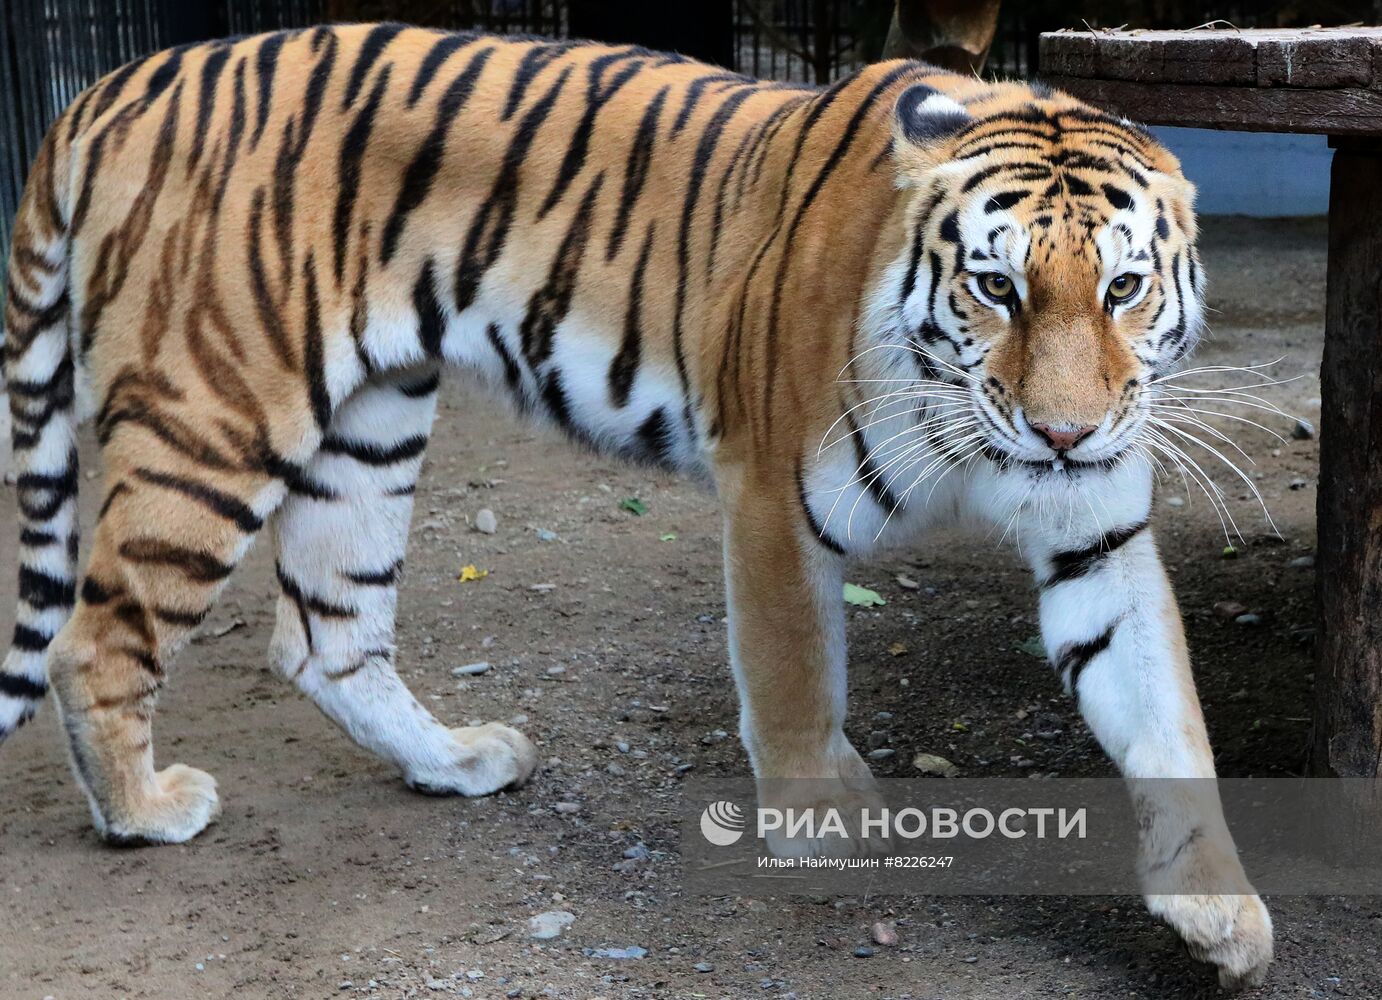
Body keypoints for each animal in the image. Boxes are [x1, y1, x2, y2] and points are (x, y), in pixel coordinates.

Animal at [2, 21, 1271, 983]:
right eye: (995, 287)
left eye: (1121, 286)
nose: (1062, 431)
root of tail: (114, 86)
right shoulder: (773, 496)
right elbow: (794, 682)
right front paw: (821, 826)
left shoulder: (1098, 532)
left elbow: (1166, 712)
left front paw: (1220, 910)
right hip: (211, 413)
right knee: (93, 637)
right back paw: (144, 808)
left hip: (368, 424)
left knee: (326, 634)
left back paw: (457, 760)